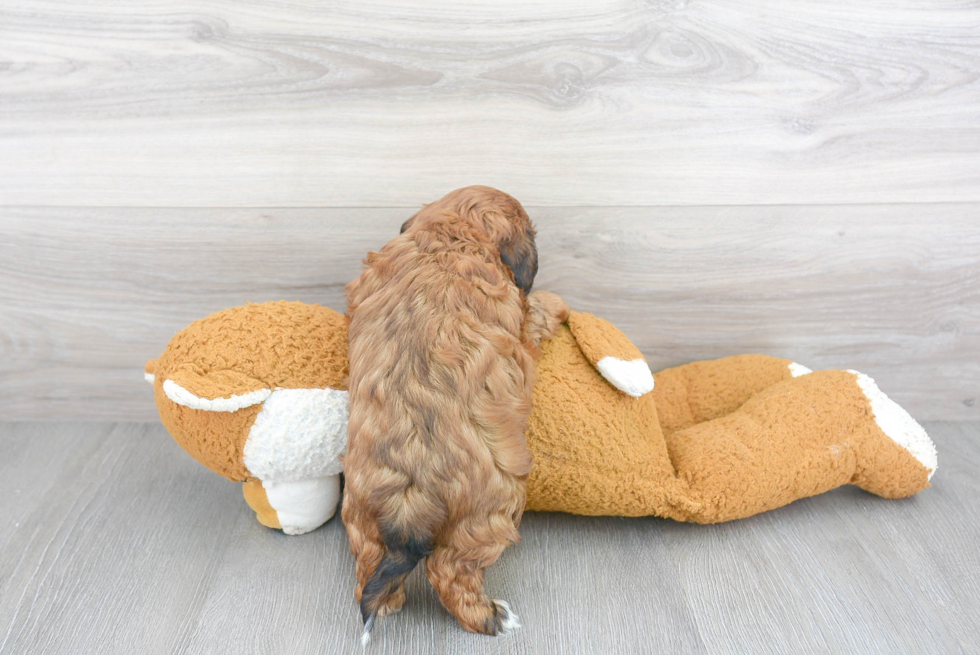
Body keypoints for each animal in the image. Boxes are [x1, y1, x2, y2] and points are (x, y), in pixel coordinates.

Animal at [340, 186, 568, 640]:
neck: (450, 237)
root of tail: (409, 497)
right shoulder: (521, 316)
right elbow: (538, 308)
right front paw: (559, 304)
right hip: (487, 516)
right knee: (450, 571)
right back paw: (491, 616)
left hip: (360, 512)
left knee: (369, 566)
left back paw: (386, 602)